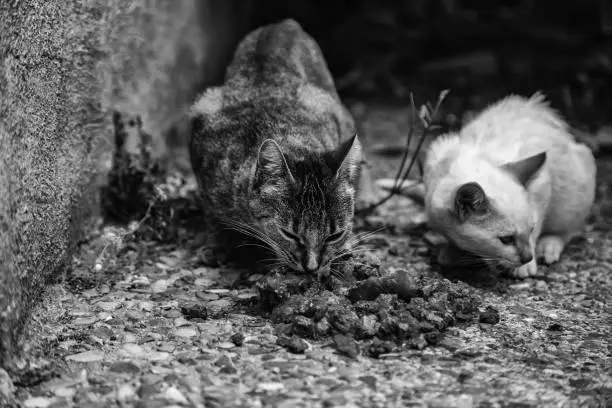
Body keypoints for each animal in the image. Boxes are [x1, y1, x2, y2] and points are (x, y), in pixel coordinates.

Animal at [418, 92, 596, 278]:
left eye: (531, 230)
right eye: (506, 240)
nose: (527, 257)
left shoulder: (542, 188)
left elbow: (539, 229)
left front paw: (524, 267)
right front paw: (453, 250)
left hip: (571, 195)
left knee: (569, 230)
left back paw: (549, 247)